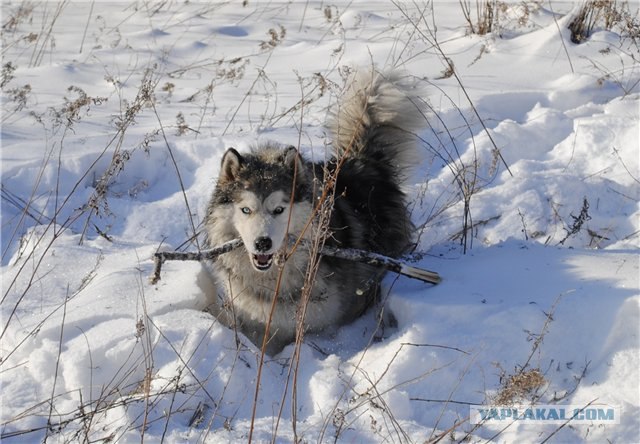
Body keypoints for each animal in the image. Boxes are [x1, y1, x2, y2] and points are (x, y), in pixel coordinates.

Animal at [205, 68, 424, 354]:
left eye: (279, 209)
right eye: (245, 209)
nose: (263, 243)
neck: (275, 277)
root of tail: (360, 160)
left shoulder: (323, 327)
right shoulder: (255, 321)